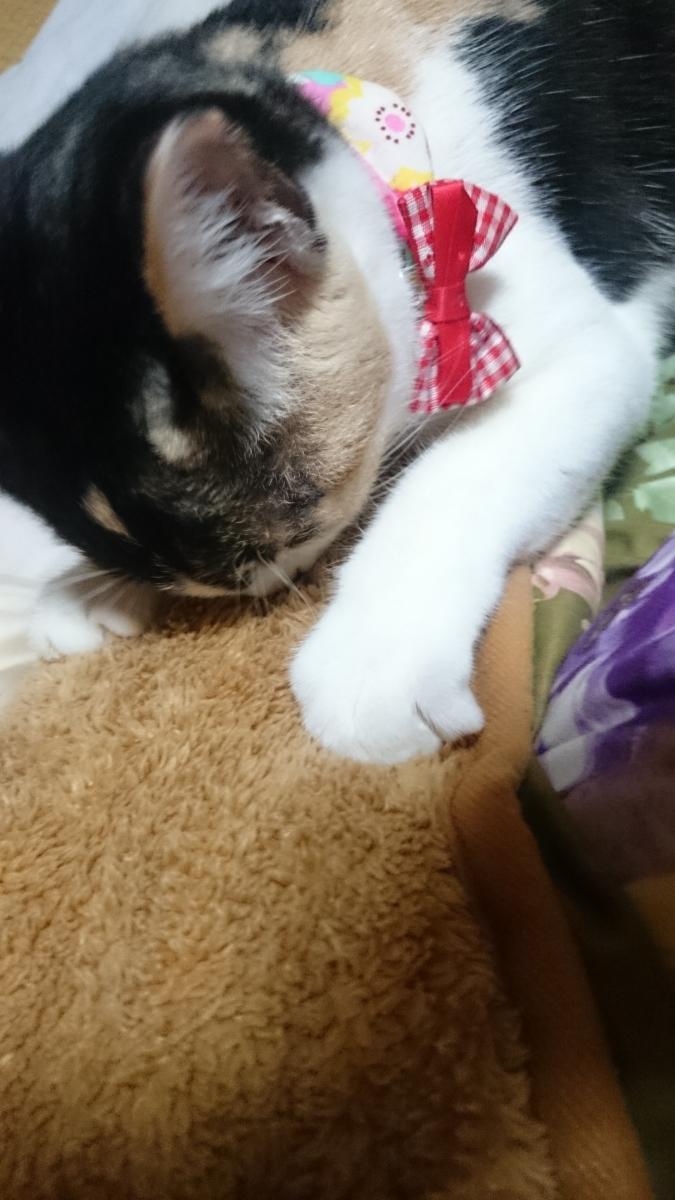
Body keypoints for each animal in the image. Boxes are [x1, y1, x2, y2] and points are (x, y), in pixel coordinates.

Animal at [1, 0, 674, 762]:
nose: (249, 589)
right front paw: (87, 591)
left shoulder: (585, 347)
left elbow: (454, 478)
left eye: (288, 529)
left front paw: (372, 663)